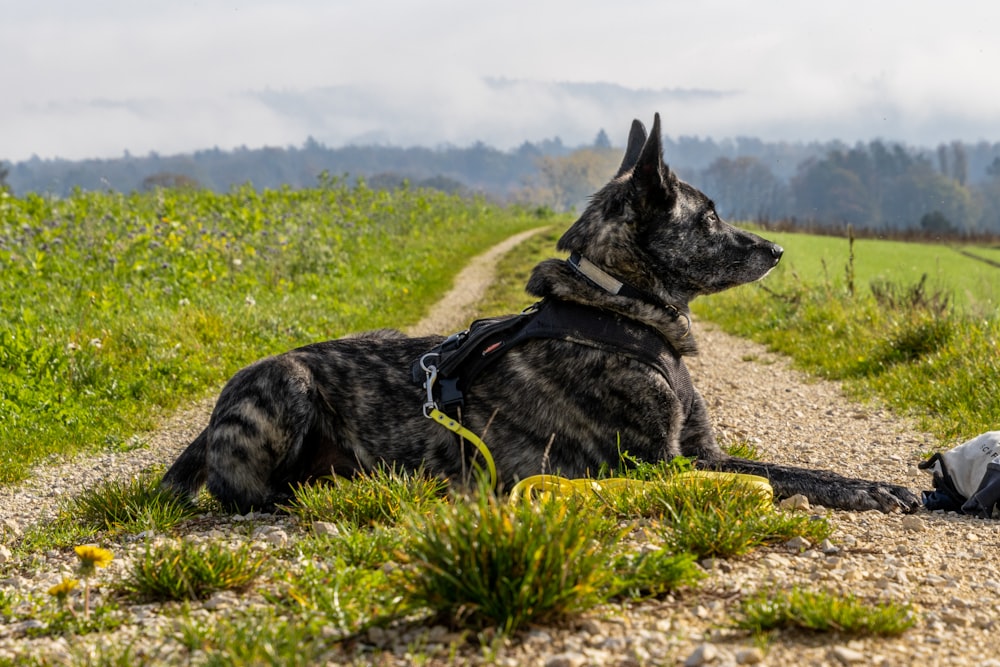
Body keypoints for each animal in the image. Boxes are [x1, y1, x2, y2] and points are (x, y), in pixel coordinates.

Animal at [164, 112, 920, 516]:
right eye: (707, 217)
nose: (777, 249)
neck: (619, 308)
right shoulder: (656, 465)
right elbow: (775, 473)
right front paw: (873, 490)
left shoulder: (700, 451)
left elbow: (794, 466)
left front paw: (872, 483)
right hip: (287, 381)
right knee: (245, 494)